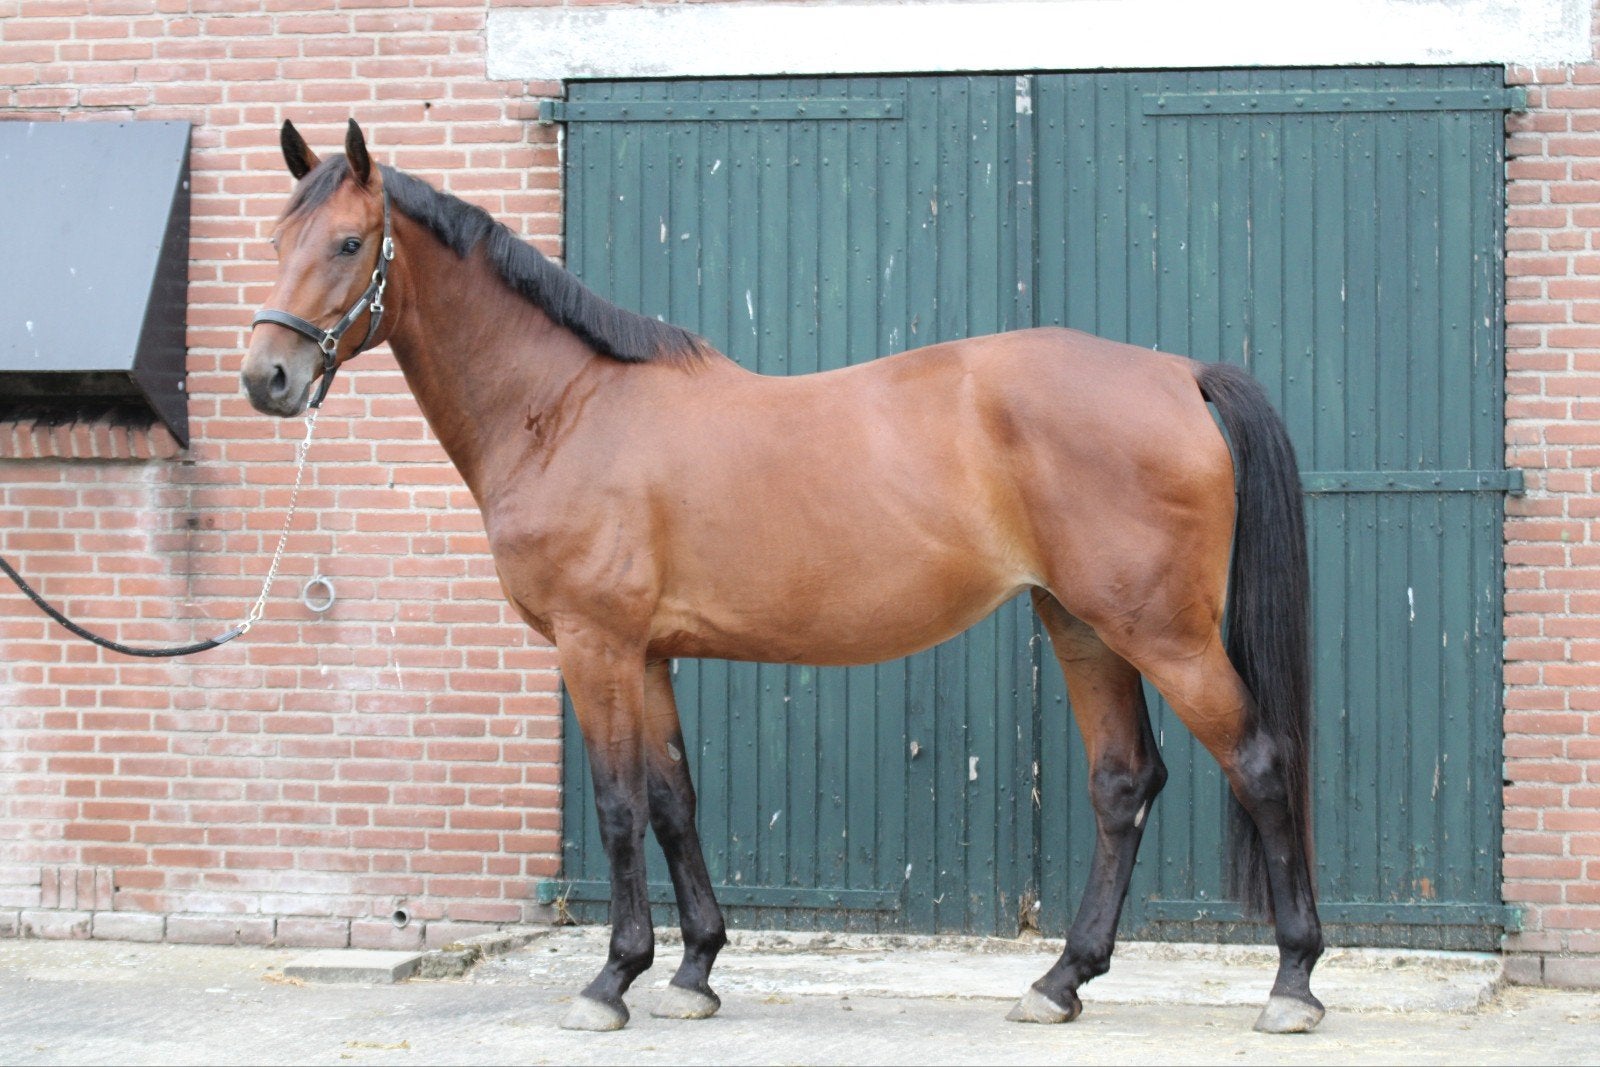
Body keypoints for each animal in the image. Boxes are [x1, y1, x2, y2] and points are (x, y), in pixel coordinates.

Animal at [242, 120, 1324, 1035]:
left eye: (349, 243)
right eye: (274, 236)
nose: (266, 379)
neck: (567, 407)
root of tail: (1177, 372)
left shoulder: (595, 644)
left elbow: (619, 805)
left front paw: (610, 979)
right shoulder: (648, 653)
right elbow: (673, 799)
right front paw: (692, 971)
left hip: (1163, 633)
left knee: (1261, 762)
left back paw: (1292, 982)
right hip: (1084, 624)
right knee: (1123, 782)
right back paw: (1060, 980)